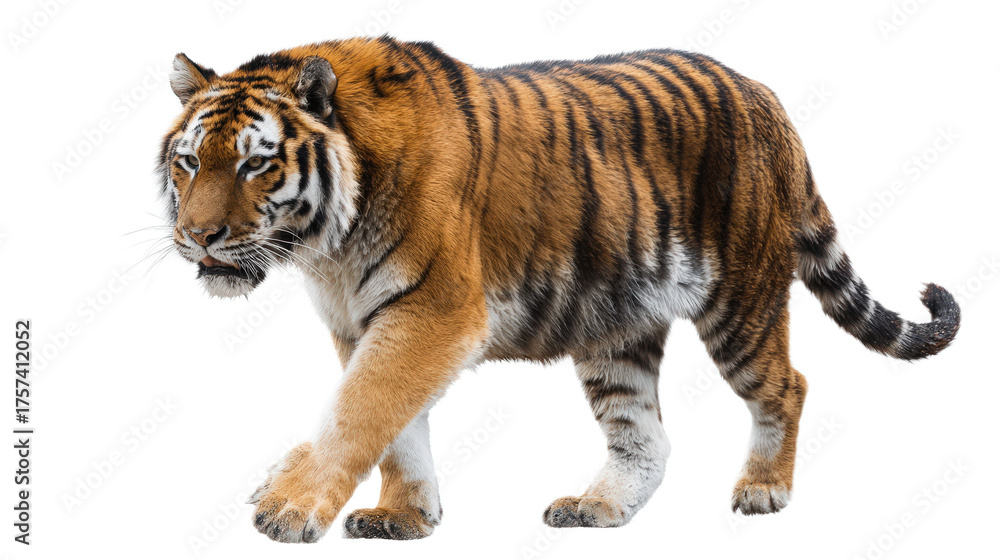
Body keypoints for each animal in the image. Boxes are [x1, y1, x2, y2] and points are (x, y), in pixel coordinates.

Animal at [158, 36, 960, 542]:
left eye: (256, 164)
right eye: (190, 162)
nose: (198, 237)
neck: (328, 244)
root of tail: (765, 97)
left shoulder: (432, 312)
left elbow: (361, 410)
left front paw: (286, 508)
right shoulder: (362, 322)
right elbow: (396, 430)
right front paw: (406, 520)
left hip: (741, 300)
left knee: (787, 385)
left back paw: (763, 490)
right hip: (617, 327)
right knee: (644, 436)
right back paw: (598, 508)